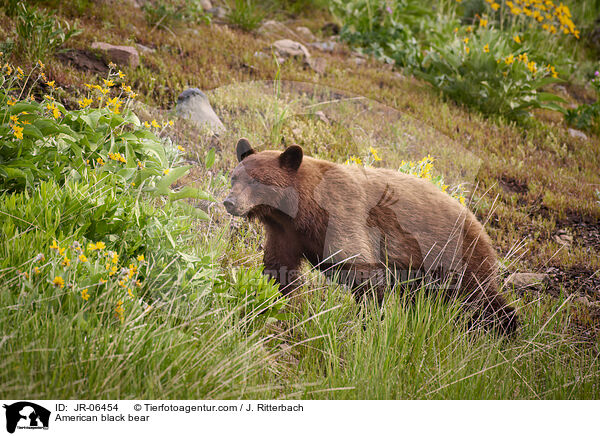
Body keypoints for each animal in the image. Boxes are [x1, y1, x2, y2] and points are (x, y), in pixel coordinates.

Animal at [223, 138, 516, 336]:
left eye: (255, 181)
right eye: (234, 177)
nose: (229, 202)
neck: (299, 213)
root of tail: (480, 225)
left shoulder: (342, 216)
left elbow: (363, 270)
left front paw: (367, 321)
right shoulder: (285, 234)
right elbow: (278, 269)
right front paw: (267, 303)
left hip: (456, 255)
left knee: (478, 298)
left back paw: (506, 328)